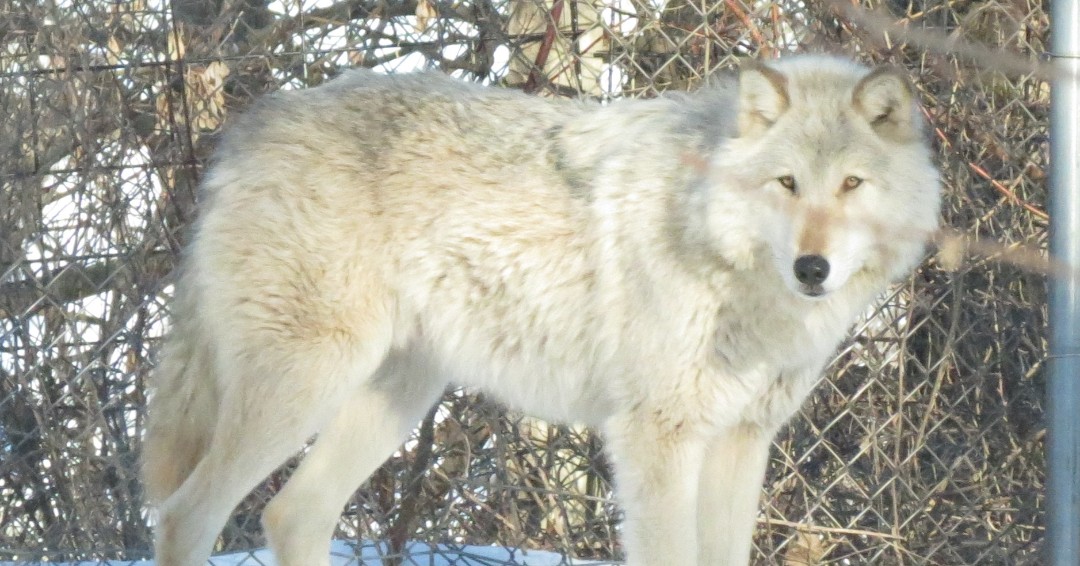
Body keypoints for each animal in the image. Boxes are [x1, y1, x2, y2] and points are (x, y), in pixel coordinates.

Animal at [142, 55, 940, 566]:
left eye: (851, 184)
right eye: (786, 183)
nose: (813, 268)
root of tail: (254, 123)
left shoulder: (741, 443)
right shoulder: (656, 440)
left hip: (394, 396)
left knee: (291, 513)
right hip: (305, 382)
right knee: (185, 514)